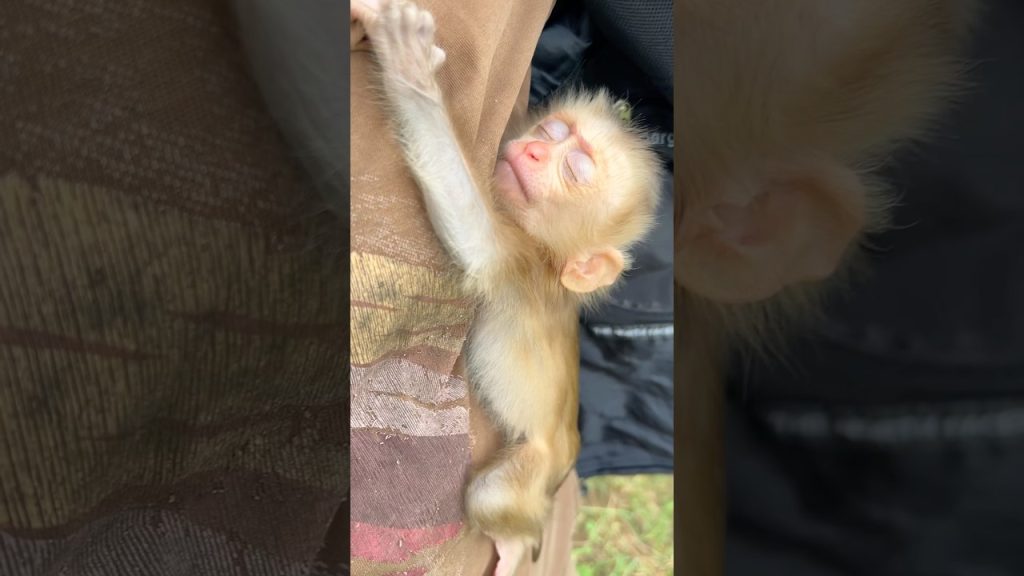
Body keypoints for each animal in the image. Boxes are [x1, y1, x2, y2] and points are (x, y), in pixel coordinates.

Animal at [353, 1, 663, 574]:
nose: (537, 151)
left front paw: (411, 68)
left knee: (492, 497)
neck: (547, 257)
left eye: (575, 169)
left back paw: (515, 546)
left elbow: (474, 236)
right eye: (554, 130)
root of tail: (567, 455)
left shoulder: (521, 267)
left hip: (531, 473)